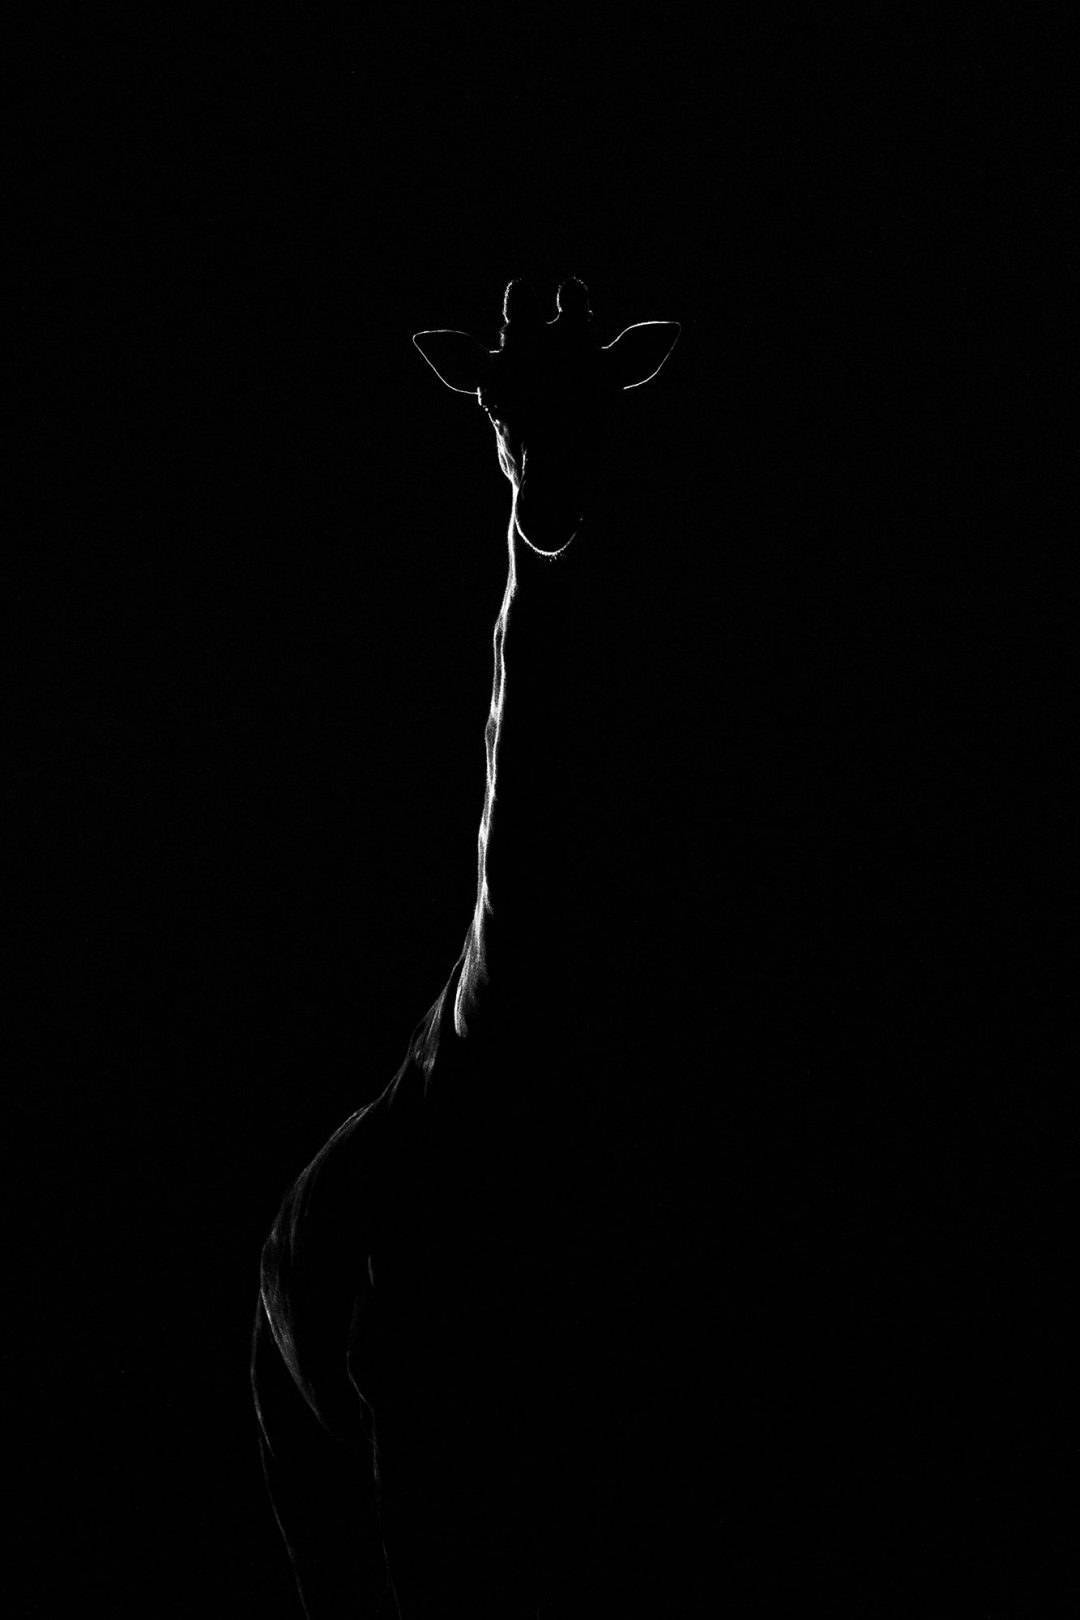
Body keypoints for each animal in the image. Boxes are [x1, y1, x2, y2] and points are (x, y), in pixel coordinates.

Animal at [251, 278, 682, 1617]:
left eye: (604, 390)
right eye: (494, 396)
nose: (548, 511)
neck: (504, 1031)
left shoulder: (588, 1427)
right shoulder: (404, 1432)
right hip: (300, 1461)